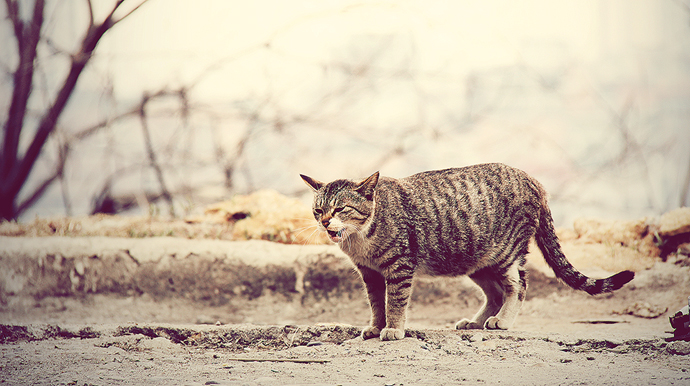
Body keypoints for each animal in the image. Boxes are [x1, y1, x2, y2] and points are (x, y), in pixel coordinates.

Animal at [298, 163, 632, 340]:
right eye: (318, 210)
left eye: (341, 208)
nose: (325, 221)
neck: (360, 240)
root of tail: (533, 180)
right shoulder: (369, 273)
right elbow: (376, 303)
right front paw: (375, 326)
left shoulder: (399, 266)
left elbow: (395, 302)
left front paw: (392, 329)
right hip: (477, 261)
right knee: (494, 293)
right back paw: (477, 320)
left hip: (505, 254)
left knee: (518, 286)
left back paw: (502, 320)